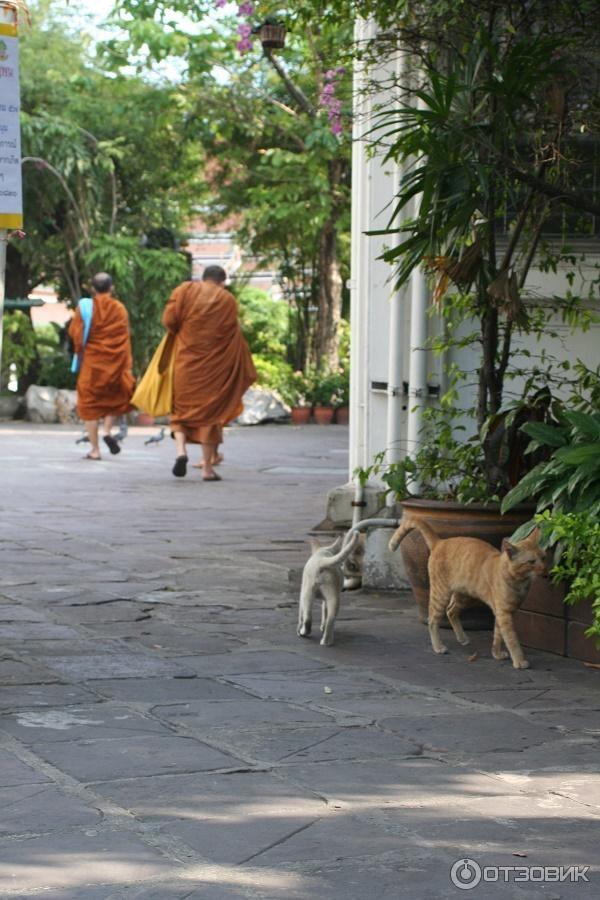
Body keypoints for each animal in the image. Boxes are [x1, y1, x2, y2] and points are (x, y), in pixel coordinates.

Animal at [386, 516, 548, 672]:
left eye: (543, 557)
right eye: (531, 562)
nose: (545, 572)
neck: (516, 579)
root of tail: (440, 542)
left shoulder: (500, 612)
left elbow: (498, 635)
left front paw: (496, 653)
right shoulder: (504, 614)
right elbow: (512, 639)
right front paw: (519, 661)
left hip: (465, 597)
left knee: (451, 611)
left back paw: (462, 638)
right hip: (441, 595)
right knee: (432, 620)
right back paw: (438, 647)